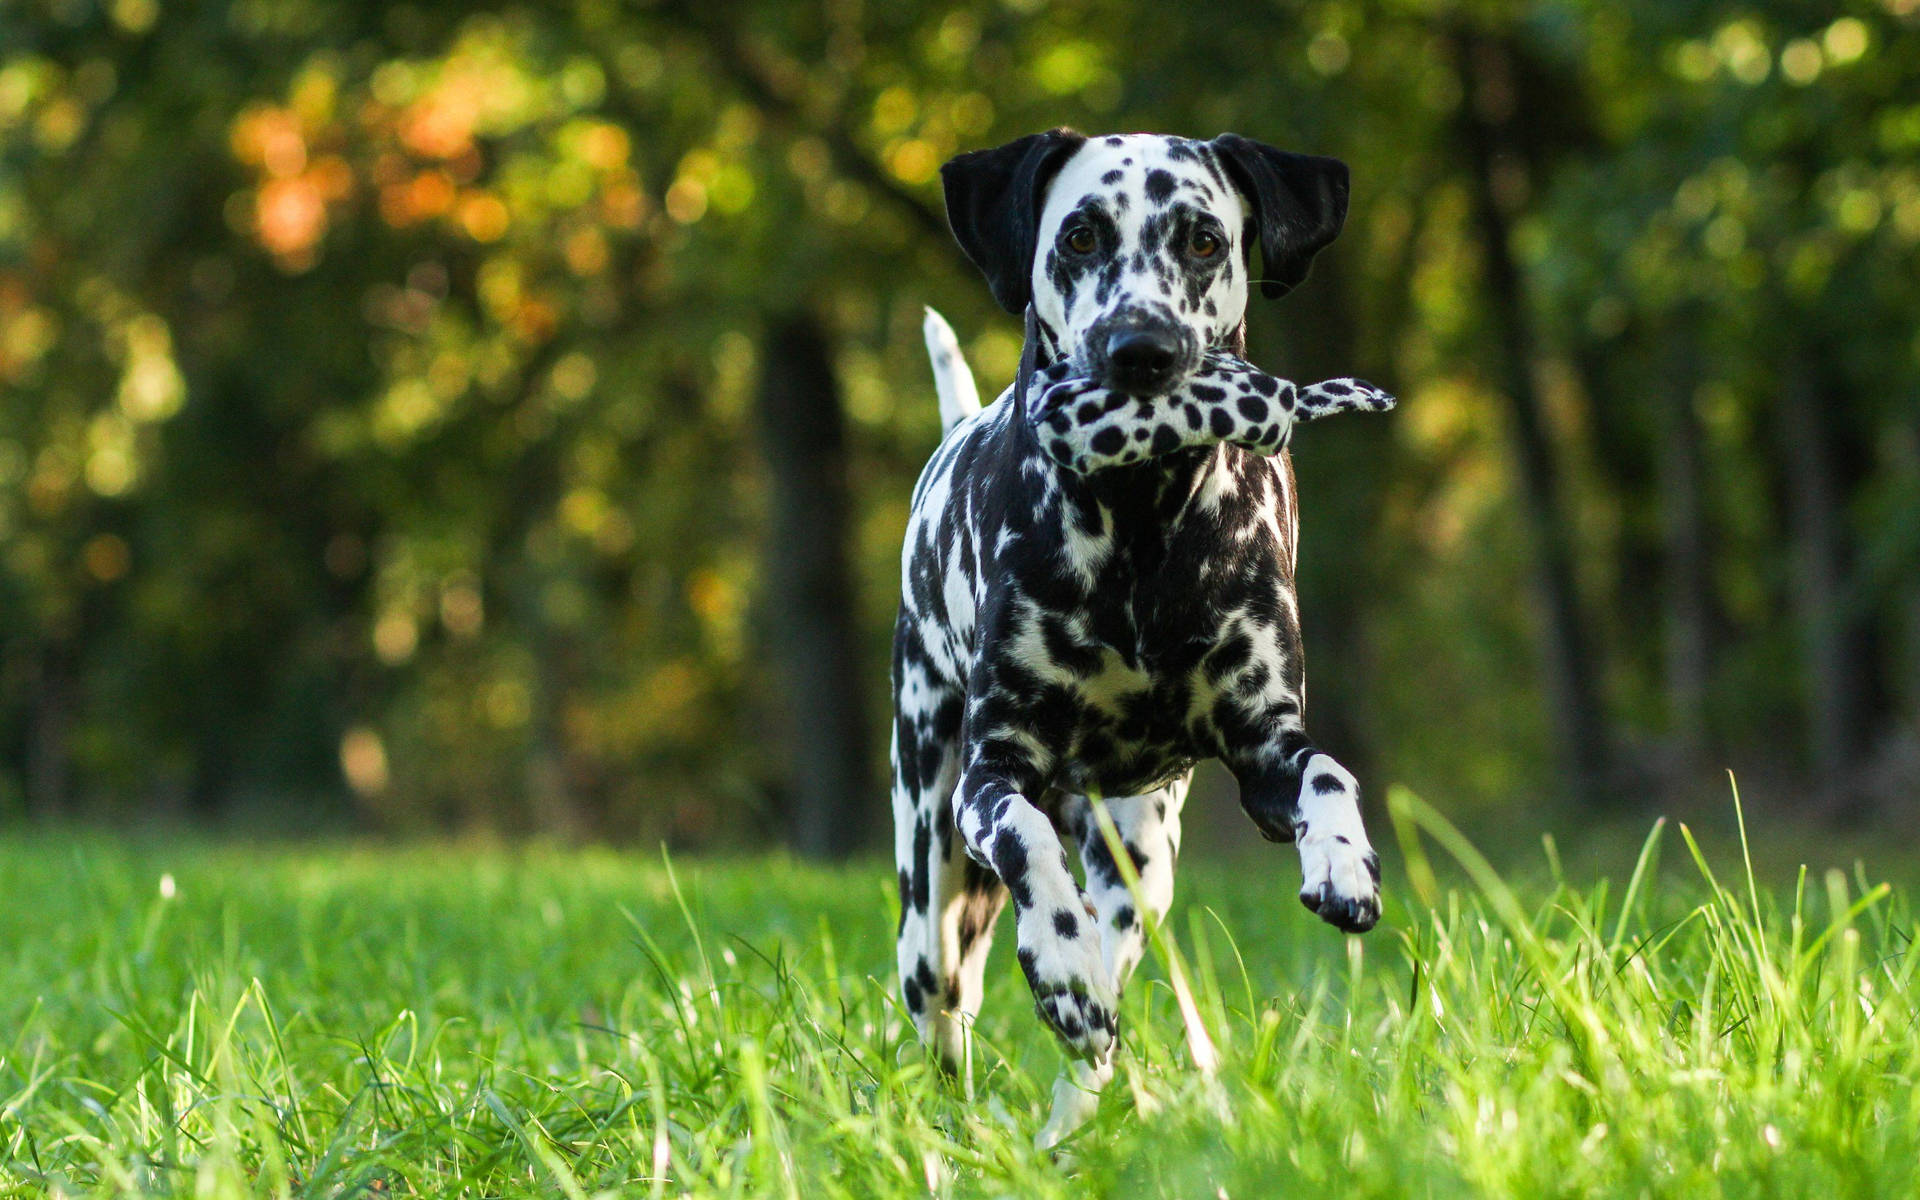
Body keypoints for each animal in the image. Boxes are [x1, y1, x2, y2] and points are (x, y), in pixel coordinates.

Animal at [890, 126, 1390, 1144]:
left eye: (1203, 239)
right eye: (1079, 236)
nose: (1143, 352)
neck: (1140, 529)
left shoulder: (1264, 749)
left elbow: (1326, 769)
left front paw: (1343, 860)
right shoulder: (994, 772)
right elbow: (1025, 837)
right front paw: (1060, 963)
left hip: (1143, 857)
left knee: (1115, 950)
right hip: (932, 871)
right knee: (946, 995)